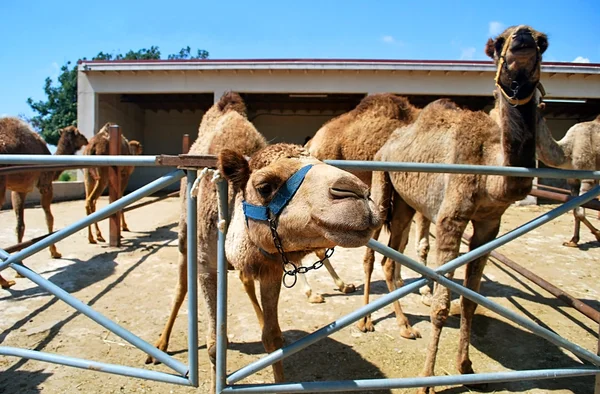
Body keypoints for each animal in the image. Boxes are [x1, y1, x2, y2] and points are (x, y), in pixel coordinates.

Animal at [0, 117, 89, 290]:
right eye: (80, 134)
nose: (87, 139)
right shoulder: (46, 184)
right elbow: (49, 218)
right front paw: (55, 252)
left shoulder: (18, 189)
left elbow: (19, 226)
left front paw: (19, 267)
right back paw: (5, 282)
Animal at [145, 92, 380, 390]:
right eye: (265, 186)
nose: (358, 194)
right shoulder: (207, 266)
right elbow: (213, 344)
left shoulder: (271, 267)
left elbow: (273, 338)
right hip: (185, 237)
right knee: (181, 286)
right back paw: (159, 346)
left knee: (245, 280)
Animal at [370, 26, 548, 392]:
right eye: (498, 43)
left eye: (542, 42)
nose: (522, 38)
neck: (491, 169)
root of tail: (389, 142)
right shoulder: (451, 219)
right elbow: (441, 305)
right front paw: (426, 380)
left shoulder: (489, 224)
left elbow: (469, 299)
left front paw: (466, 367)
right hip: (382, 183)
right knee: (372, 250)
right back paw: (366, 322)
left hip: (406, 205)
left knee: (390, 258)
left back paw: (405, 326)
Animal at [536, 112, 600, 246]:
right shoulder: (572, 180)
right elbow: (575, 211)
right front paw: (573, 241)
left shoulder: (588, 176)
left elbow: (580, 212)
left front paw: (598, 234)